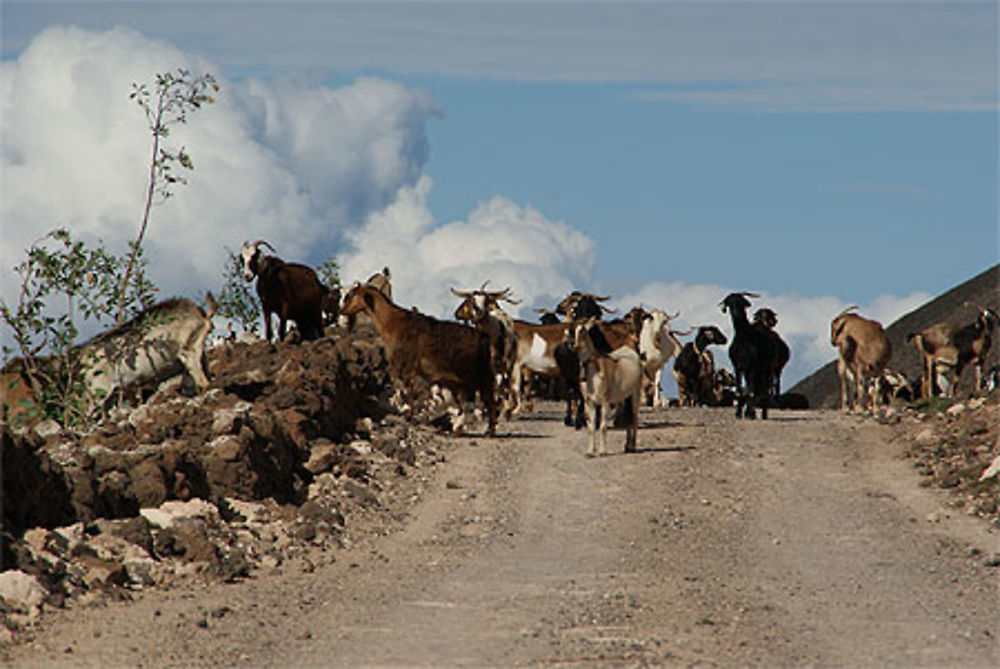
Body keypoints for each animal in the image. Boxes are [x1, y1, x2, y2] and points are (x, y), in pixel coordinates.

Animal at [340, 284, 496, 436]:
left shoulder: (406, 365)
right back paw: (460, 430)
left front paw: (407, 412)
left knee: (484, 399)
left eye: (352, 295)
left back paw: (487, 430)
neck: (392, 323)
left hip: (473, 374)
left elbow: (405, 387)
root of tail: (483, 338)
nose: (343, 310)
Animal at [572, 318, 640, 454]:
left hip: (635, 393)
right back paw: (627, 446)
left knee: (634, 417)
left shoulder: (605, 401)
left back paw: (632, 446)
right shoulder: (589, 402)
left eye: (582, 330)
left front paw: (602, 451)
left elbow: (603, 426)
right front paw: (590, 451)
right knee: (627, 417)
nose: (574, 347)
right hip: (624, 397)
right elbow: (591, 427)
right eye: (572, 330)